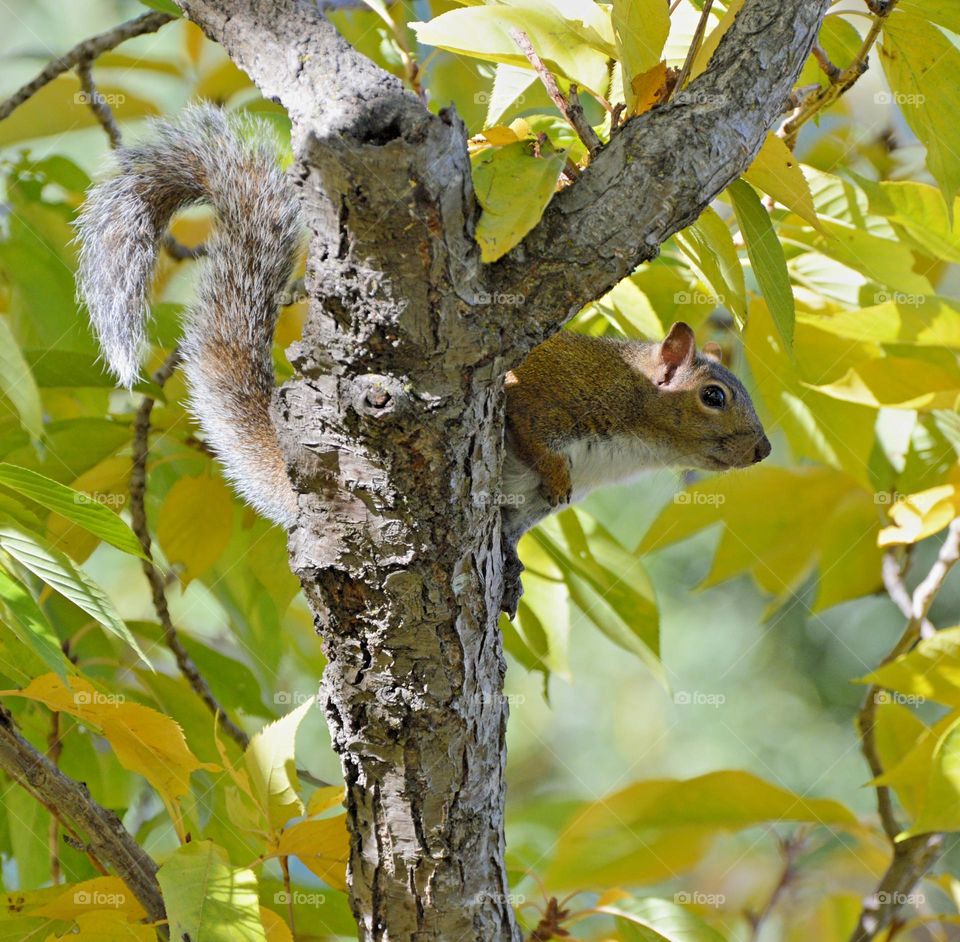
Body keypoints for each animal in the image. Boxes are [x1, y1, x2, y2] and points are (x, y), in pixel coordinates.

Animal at [75, 104, 771, 616]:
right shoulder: (552, 394)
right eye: (713, 396)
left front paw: (512, 567)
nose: (763, 450)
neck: (632, 435)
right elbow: (526, 420)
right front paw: (553, 468)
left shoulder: (530, 508)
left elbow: (514, 530)